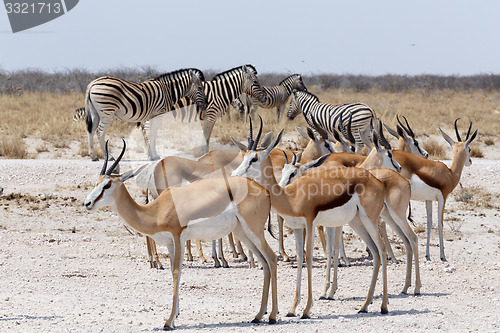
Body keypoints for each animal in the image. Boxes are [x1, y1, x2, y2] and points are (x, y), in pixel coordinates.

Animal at [83, 139, 278, 328]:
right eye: (97, 181)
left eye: (108, 184)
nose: (87, 203)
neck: (157, 210)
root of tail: (264, 191)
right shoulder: (170, 242)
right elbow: (172, 271)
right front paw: (175, 315)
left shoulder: (178, 237)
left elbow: (177, 271)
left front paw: (169, 321)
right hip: (243, 232)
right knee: (264, 262)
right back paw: (258, 315)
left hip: (254, 230)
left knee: (272, 258)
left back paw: (273, 316)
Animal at [232, 125, 388, 320]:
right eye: (245, 155)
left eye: (254, 158)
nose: (235, 174)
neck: (290, 197)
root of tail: (378, 182)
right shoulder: (298, 228)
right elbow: (299, 258)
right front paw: (292, 309)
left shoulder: (310, 223)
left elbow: (309, 258)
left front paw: (306, 309)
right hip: (357, 223)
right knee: (375, 252)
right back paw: (365, 305)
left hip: (369, 220)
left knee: (382, 250)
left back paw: (383, 306)